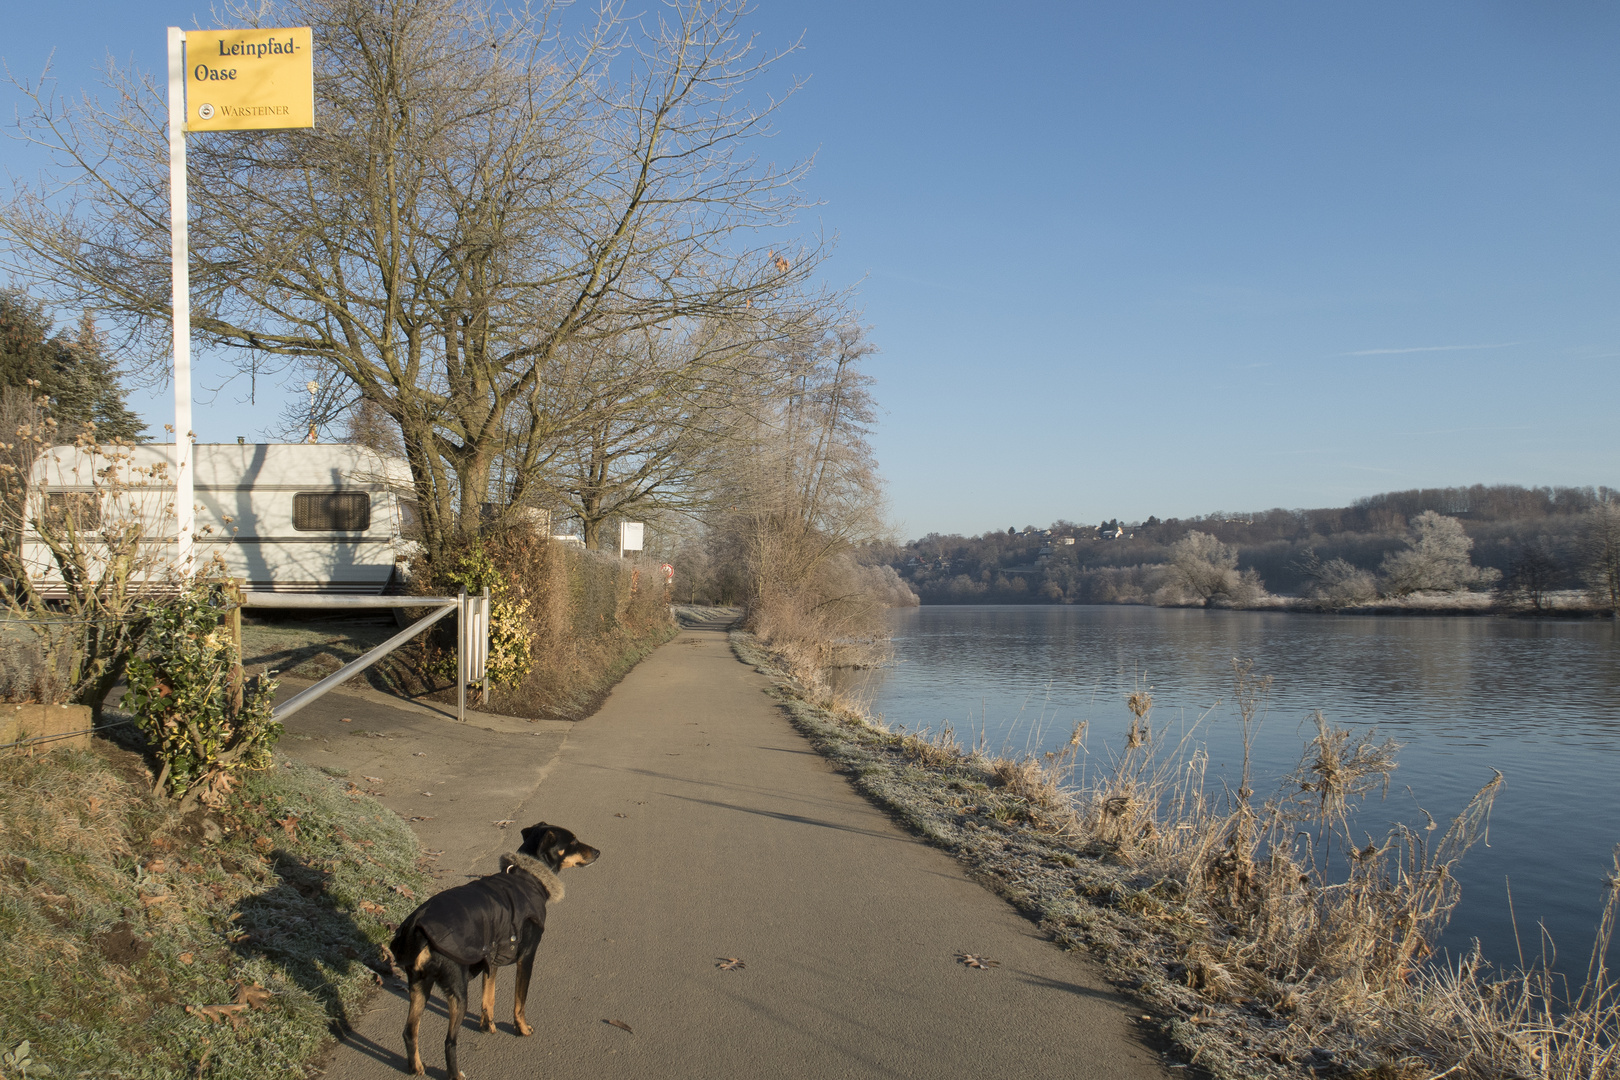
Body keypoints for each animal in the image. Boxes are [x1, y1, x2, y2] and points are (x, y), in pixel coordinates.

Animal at [388, 822, 599, 1075]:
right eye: (573, 842)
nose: (598, 852)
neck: (528, 877)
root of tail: (417, 928)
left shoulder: (493, 956)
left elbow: (488, 997)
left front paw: (487, 1025)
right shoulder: (526, 957)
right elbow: (520, 1001)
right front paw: (522, 1028)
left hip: (419, 985)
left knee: (409, 1032)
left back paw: (416, 1067)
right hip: (457, 990)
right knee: (449, 1042)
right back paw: (455, 1074)